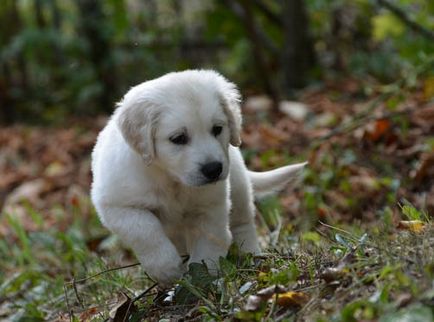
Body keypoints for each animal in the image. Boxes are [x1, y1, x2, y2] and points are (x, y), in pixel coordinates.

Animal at [91, 70, 306, 284]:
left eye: (217, 129)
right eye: (178, 138)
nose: (214, 169)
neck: (172, 179)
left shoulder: (210, 206)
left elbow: (209, 242)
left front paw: (204, 277)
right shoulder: (117, 206)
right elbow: (145, 230)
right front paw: (167, 269)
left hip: (238, 187)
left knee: (243, 224)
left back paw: (252, 256)